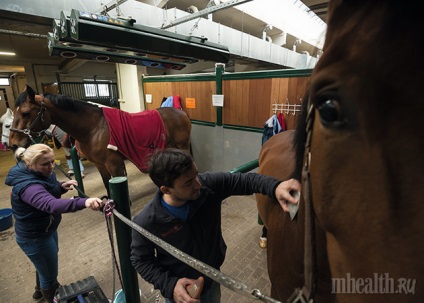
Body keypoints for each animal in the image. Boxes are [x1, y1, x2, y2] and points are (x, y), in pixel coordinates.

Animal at [9, 85, 191, 195]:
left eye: (25, 113)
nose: (13, 144)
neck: (94, 127)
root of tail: (181, 113)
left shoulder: (114, 165)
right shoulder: (100, 165)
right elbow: (107, 186)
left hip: (182, 146)